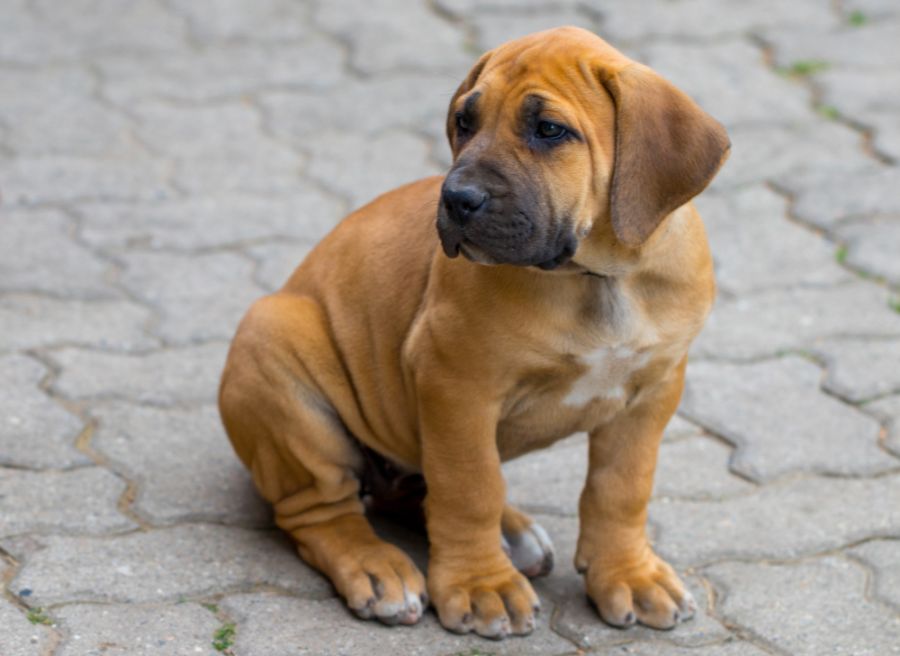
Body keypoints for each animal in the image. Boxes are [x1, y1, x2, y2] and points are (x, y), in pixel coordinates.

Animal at [220, 26, 732, 640]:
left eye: (549, 130)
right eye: (464, 122)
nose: (457, 199)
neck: (598, 277)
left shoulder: (653, 391)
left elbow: (622, 486)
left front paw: (628, 573)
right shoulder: (456, 385)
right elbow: (470, 488)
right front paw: (481, 585)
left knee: (416, 491)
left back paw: (513, 535)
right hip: (277, 357)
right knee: (322, 511)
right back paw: (377, 568)